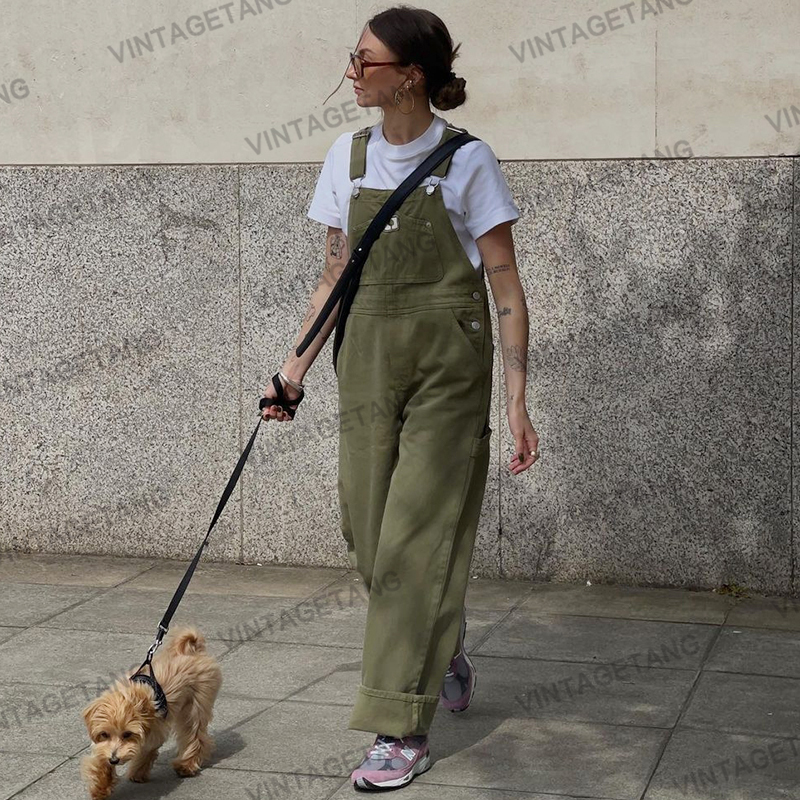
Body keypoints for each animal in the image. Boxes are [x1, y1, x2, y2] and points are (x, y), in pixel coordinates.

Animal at [80, 626, 222, 799]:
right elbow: (101, 760)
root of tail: (193, 651)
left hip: (196, 707)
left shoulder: (156, 731)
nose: (114, 759)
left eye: (127, 734)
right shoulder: (102, 745)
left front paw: (138, 772)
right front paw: (100, 787)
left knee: (195, 736)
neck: (133, 698)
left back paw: (186, 765)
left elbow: (147, 752)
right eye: (104, 734)